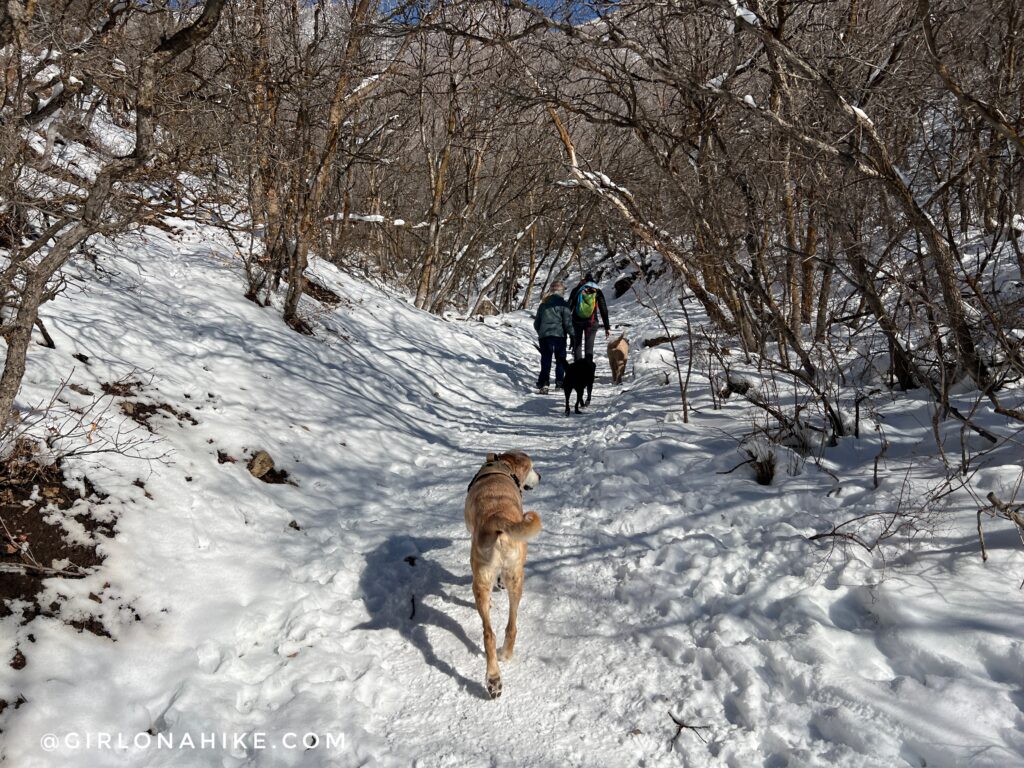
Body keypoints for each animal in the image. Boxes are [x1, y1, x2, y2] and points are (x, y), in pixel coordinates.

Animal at [466, 454, 544, 700]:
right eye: (532, 467)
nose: (540, 476)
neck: (503, 466)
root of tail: (497, 519)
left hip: (480, 577)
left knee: (488, 633)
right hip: (516, 577)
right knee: (511, 626)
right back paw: (501, 666)